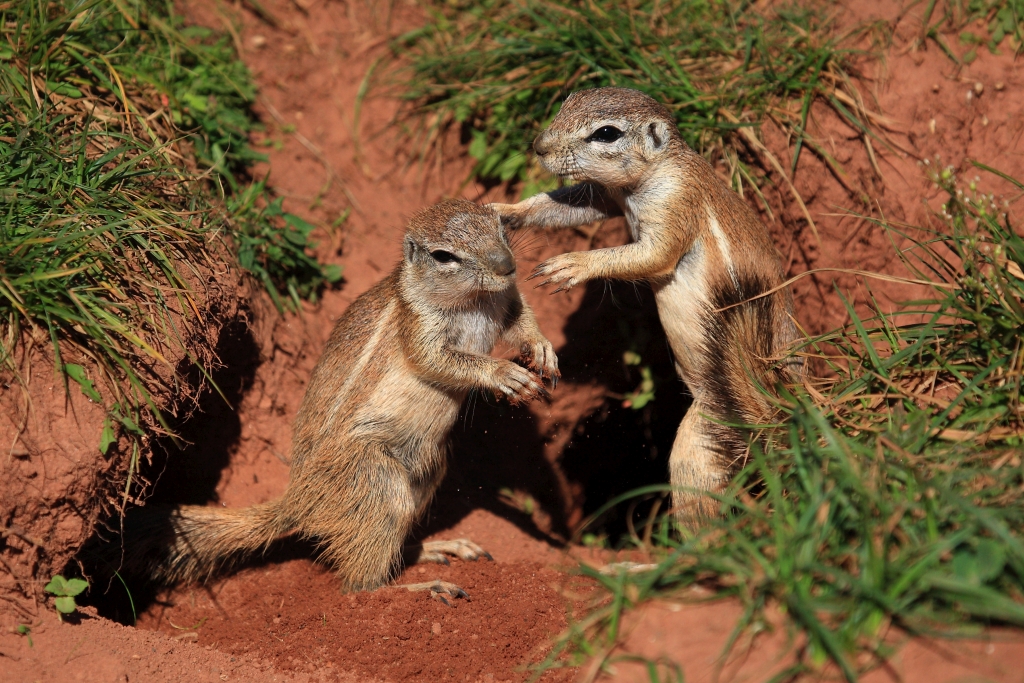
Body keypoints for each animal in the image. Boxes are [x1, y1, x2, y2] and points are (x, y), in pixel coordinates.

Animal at [114, 198, 561, 602]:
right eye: (443, 256)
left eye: (500, 225)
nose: (506, 265)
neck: (474, 301)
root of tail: (298, 502)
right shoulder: (419, 328)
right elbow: (439, 360)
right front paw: (503, 374)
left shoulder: (506, 299)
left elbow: (521, 319)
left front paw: (542, 349)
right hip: (378, 482)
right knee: (358, 587)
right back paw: (421, 588)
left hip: (428, 470)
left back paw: (436, 548)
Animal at [491, 88, 802, 520]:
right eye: (569, 99)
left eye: (606, 133)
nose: (539, 145)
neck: (652, 173)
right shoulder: (606, 195)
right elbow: (565, 206)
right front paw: (503, 211)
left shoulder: (675, 205)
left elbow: (653, 255)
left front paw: (572, 264)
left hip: (701, 443)